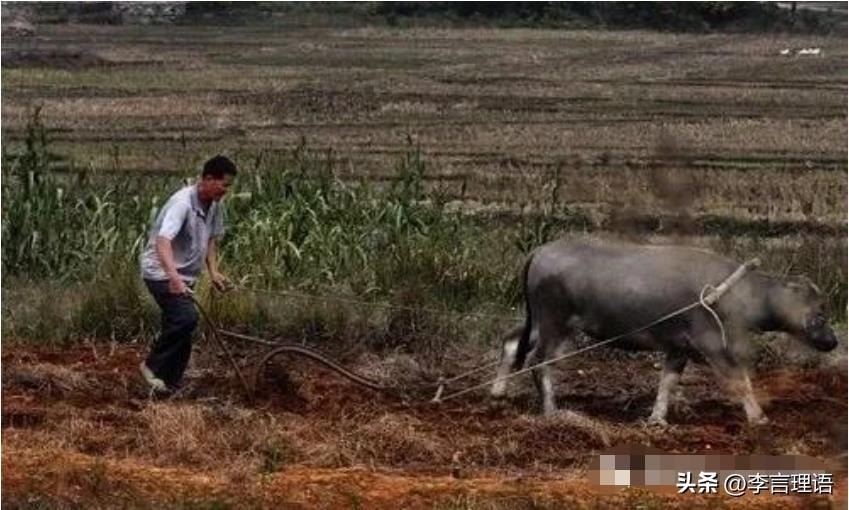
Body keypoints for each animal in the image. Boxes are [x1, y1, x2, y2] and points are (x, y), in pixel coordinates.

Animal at [486, 241, 840, 424]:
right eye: (821, 311)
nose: (833, 341)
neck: (731, 292)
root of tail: (541, 251)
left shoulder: (678, 347)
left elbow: (667, 382)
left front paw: (657, 418)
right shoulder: (711, 344)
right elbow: (738, 379)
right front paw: (758, 417)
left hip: (538, 321)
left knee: (512, 342)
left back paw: (498, 392)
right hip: (555, 323)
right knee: (538, 359)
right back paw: (551, 410)